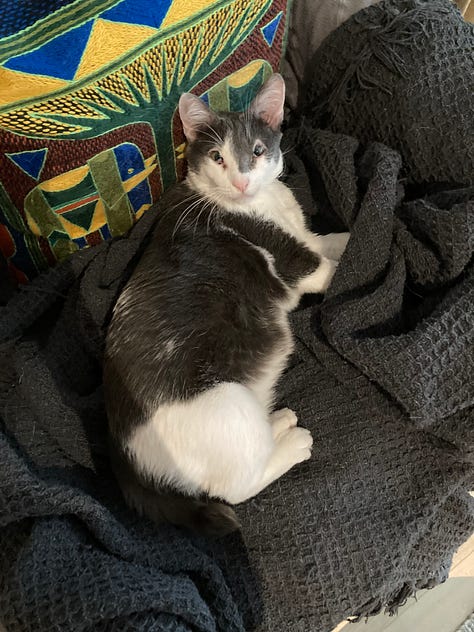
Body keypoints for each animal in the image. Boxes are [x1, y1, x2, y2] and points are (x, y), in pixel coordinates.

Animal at [103, 75, 348, 540]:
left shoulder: (305, 237)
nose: (240, 182)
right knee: (235, 487)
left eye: (257, 150)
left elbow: (336, 240)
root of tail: (126, 459)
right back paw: (291, 443)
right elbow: (333, 265)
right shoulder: (295, 263)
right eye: (218, 157)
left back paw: (278, 424)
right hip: (228, 400)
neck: (259, 204)